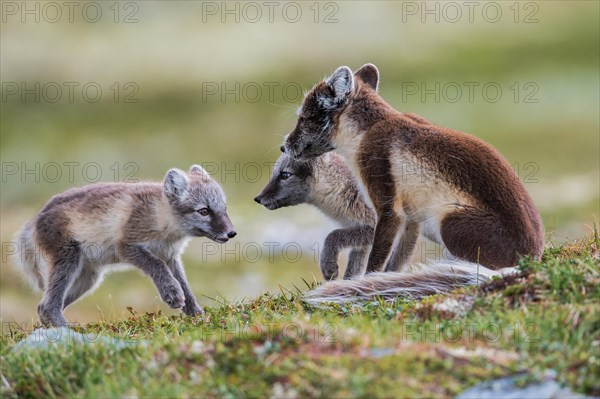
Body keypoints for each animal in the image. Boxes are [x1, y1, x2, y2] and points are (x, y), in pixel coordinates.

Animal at [11, 165, 237, 324]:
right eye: (204, 211)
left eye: (224, 209)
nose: (232, 233)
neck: (161, 219)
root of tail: (34, 220)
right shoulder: (128, 246)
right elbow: (157, 266)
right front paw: (172, 294)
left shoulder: (171, 257)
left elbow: (185, 285)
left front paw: (195, 314)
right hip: (68, 262)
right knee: (48, 306)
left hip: (87, 280)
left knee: (42, 307)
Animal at [284, 64, 544, 304]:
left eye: (303, 118)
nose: (283, 146)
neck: (366, 131)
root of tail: (530, 261)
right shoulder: (411, 219)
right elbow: (395, 264)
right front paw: (385, 283)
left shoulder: (389, 210)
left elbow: (375, 260)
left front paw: (365, 284)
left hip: (449, 223)